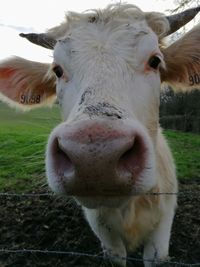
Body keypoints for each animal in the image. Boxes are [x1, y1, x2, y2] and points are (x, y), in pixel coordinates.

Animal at [0, 3, 200, 266]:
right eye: (57, 70)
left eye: (155, 61)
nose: (95, 158)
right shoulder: (103, 232)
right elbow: (116, 256)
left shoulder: (163, 225)